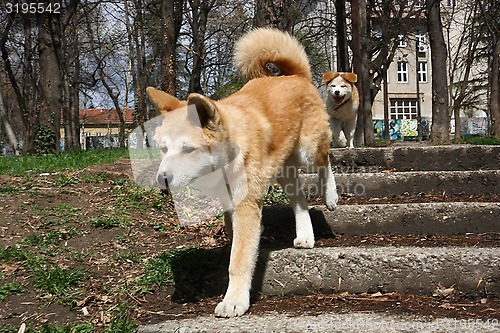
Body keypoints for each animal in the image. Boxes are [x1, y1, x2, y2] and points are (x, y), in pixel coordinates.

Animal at [146, 27, 338, 316]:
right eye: (163, 149)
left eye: (188, 149)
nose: (162, 180)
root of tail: (295, 75)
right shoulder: (230, 202)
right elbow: (232, 234)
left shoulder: (245, 204)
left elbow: (239, 259)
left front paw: (234, 299)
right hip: (283, 170)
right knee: (299, 200)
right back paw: (305, 235)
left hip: (309, 151)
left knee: (326, 163)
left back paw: (330, 196)